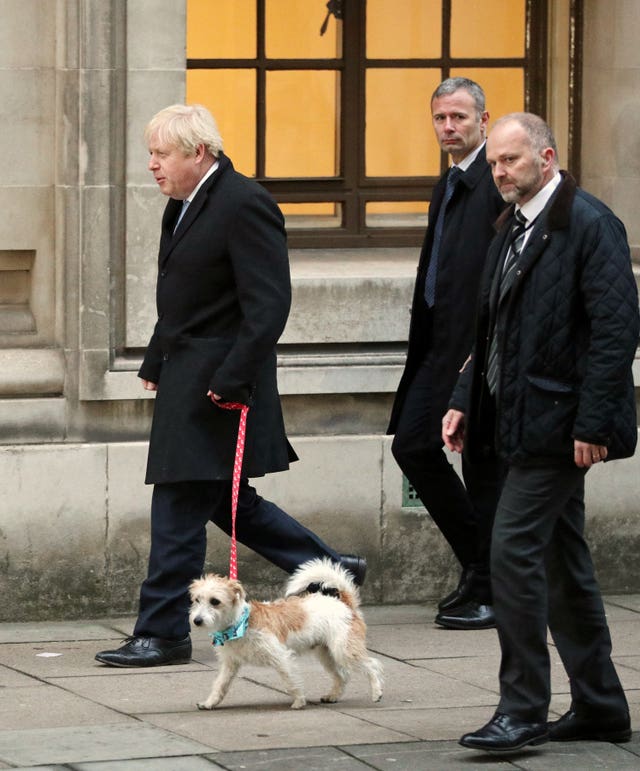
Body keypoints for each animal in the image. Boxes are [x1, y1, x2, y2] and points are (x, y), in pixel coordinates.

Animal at [188, 556, 382, 708]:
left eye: (215, 601)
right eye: (196, 600)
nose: (196, 620)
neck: (241, 624)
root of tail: (345, 604)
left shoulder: (281, 657)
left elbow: (290, 681)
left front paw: (299, 701)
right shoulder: (230, 663)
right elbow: (220, 685)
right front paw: (209, 703)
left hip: (344, 650)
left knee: (372, 665)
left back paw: (377, 691)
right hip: (327, 654)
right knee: (342, 675)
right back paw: (333, 696)